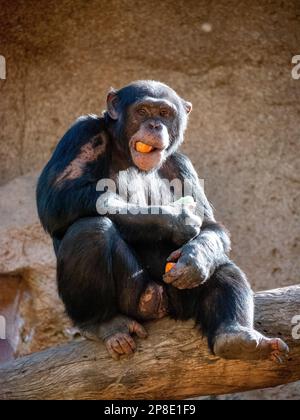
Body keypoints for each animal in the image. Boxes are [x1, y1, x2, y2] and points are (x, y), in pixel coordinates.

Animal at [37, 81, 288, 360]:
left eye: (164, 114)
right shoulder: (82, 133)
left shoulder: (181, 163)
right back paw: (104, 323)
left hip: (179, 298)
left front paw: (195, 257)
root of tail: (160, 306)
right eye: (142, 111)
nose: (155, 125)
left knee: (222, 265)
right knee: (90, 230)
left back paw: (236, 338)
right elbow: (58, 196)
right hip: (136, 299)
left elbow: (211, 227)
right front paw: (177, 219)